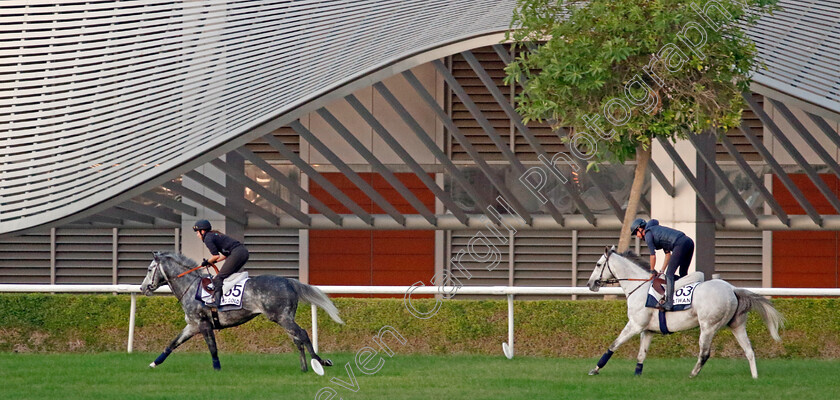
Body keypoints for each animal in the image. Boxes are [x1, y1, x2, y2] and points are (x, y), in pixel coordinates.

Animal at [139, 253, 342, 372]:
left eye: (149, 269)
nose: (142, 288)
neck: (190, 287)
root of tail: (288, 282)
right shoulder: (192, 325)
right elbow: (172, 344)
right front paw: (153, 363)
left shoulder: (204, 324)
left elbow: (212, 348)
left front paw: (217, 369)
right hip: (285, 317)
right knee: (297, 339)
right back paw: (304, 367)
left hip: (281, 317)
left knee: (303, 334)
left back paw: (319, 363)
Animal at [588, 245, 784, 380]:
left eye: (598, 264)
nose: (590, 284)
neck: (640, 287)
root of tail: (733, 289)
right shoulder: (648, 330)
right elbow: (641, 354)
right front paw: (637, 375)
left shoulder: (636, 325)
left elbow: (613, 345)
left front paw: (595, 369)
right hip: (737, 325)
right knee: (749, 350)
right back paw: (755, 377)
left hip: (708, 327)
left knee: (705, 353)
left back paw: (692, 374)